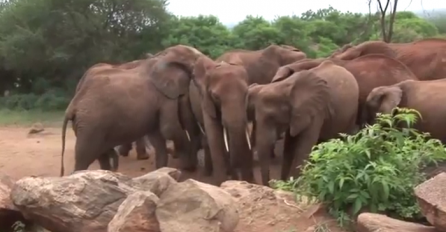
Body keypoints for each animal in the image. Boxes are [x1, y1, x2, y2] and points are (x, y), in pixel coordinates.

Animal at [60, 44, 203, 176]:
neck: (163, 56)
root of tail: (72, 106)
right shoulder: (165, 95)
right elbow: (169, 129)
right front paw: (187, 168)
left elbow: (157, 135)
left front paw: (163, 171)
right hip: (90, 124)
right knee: (85, 157)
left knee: (100, 155)